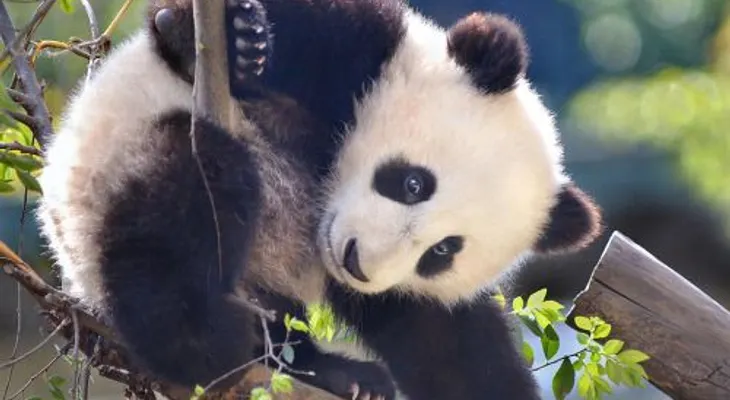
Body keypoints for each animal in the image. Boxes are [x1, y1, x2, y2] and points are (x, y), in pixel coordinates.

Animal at [37, 0, 602, 399]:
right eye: (413, 184)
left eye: (442, 252)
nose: (358, 264)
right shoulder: (355, 49)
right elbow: (190, 26)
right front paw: (238, 41)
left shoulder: (405, 293)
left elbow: (448, 347)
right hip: (110, 174)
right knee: (177, 205)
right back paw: (200, 341)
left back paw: (339, 375)